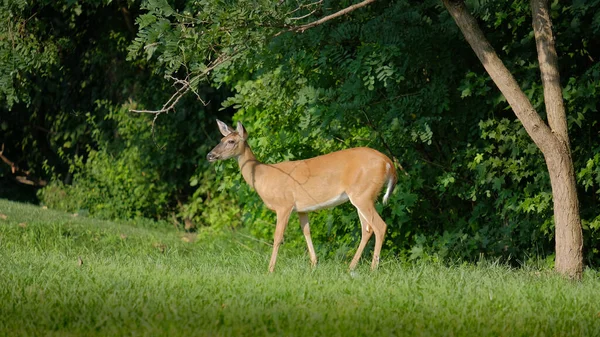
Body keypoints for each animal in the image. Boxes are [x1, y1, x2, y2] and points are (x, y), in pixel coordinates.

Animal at [207, 119, 398, 272]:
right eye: (220, 140)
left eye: (231, 141)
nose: (210, 155)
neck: (263, 176)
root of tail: (388, 163)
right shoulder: (302, 208)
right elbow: (306, 231)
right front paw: (314, 264)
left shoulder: (284, 204)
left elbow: (278, 237)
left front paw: (270, 269)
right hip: (362, 196)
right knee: (367, 228)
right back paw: (351, 267)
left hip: (362, 194)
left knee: (380, 226)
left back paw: (373, 269)